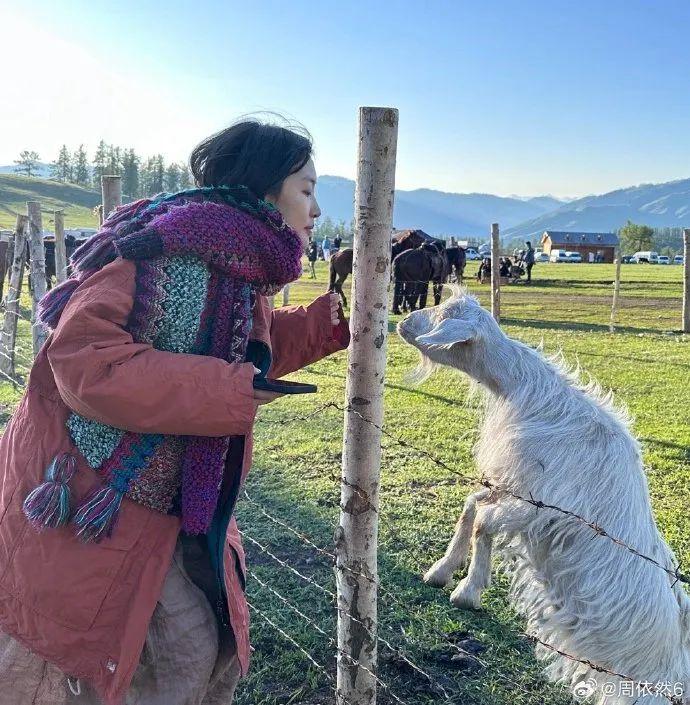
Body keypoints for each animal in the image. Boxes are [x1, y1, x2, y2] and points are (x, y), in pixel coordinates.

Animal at [396, 288, 688, 700]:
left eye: (445, 314)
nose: (403, 322)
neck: (534, 395)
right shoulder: (514, 486)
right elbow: (471, 507)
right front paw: (441, 570)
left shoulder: (541, 508)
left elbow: (484, 522)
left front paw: (468, 590)